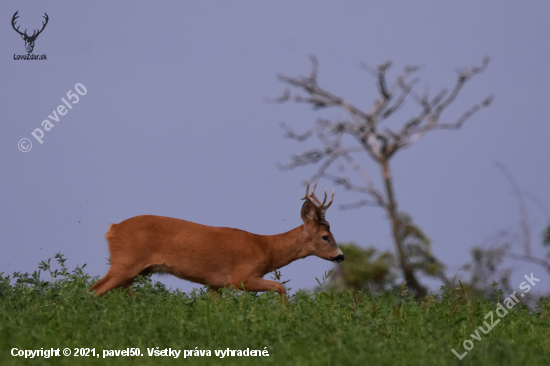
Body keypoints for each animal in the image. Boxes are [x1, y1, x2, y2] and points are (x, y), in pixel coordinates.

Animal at [90, 181, 344, 298]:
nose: (341, 256)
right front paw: (287, 315)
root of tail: (112, 229)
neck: (266, 249)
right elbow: (280, 287)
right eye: (326, 236)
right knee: (95, 289)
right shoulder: (242, 277)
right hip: (126, 261)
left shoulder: (214, 284)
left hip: (135, 270)